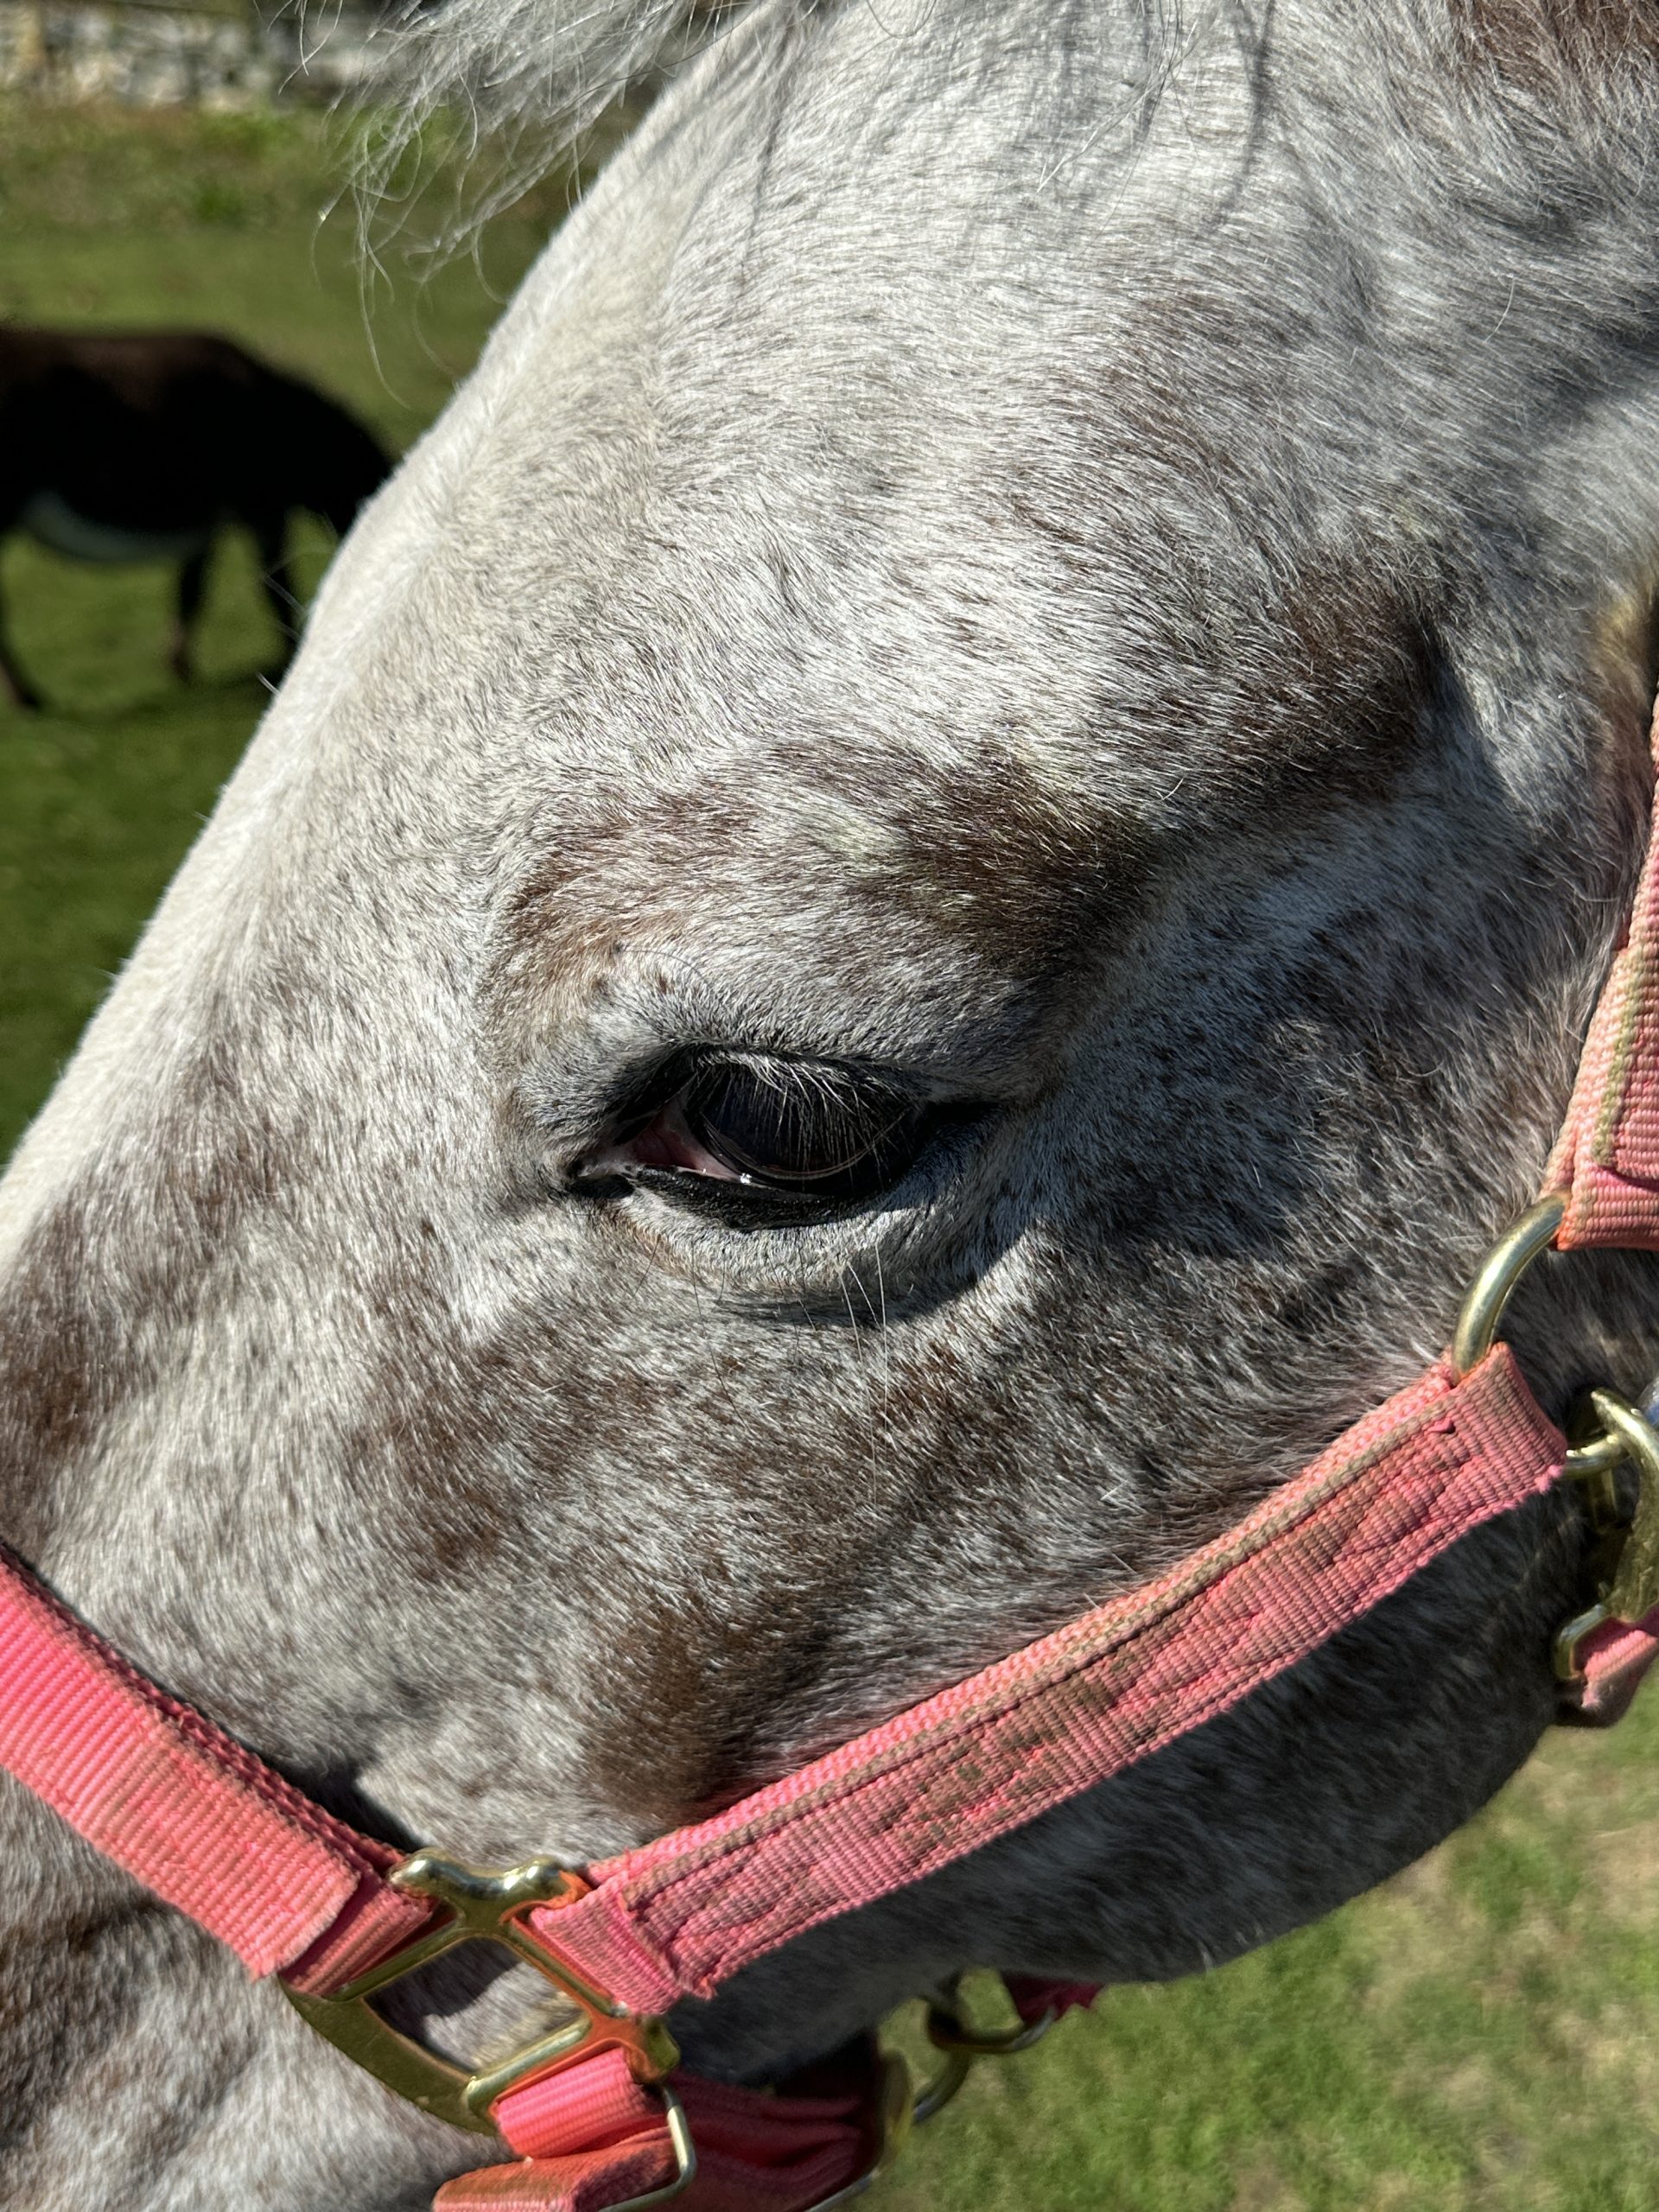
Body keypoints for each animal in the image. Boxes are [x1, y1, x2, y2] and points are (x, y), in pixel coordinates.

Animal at [0, 326, 391, 708]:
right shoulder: (263, 512)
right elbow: (276, 587)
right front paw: (289, 662)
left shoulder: (206, 530)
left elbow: (192, 591)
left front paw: (180, 668)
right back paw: (28, 697)